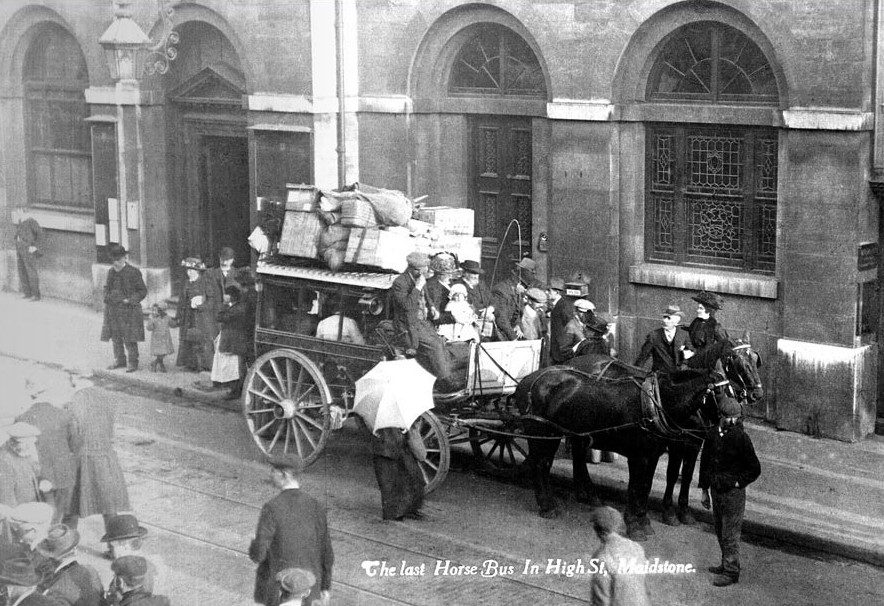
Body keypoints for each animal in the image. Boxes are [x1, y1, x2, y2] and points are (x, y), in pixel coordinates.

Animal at [516, 340, 764, 544]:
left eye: (755, 360)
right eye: (738, 363)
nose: (755, 396)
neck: (659, 403)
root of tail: (531, 380)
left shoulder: (669, 449)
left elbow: (651, 484)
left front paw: (651, 519)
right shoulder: (650, 452)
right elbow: (650, 482)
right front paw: (648, 520)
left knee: (569, 456)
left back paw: (587, 494)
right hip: (544, 434)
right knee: (541, 464)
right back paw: (549, 505)